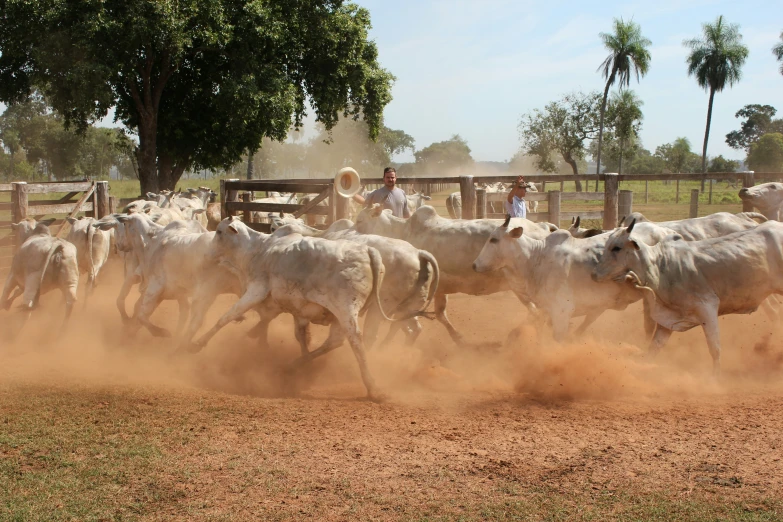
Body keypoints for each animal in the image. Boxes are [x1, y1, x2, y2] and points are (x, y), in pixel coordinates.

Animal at [592, 217, 783, 372]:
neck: (660, 266)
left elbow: (715, 348)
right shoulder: (668, 319)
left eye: (616, 247)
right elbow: (654, 347)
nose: (595, 274)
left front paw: (716, 377)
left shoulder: (707, 307)